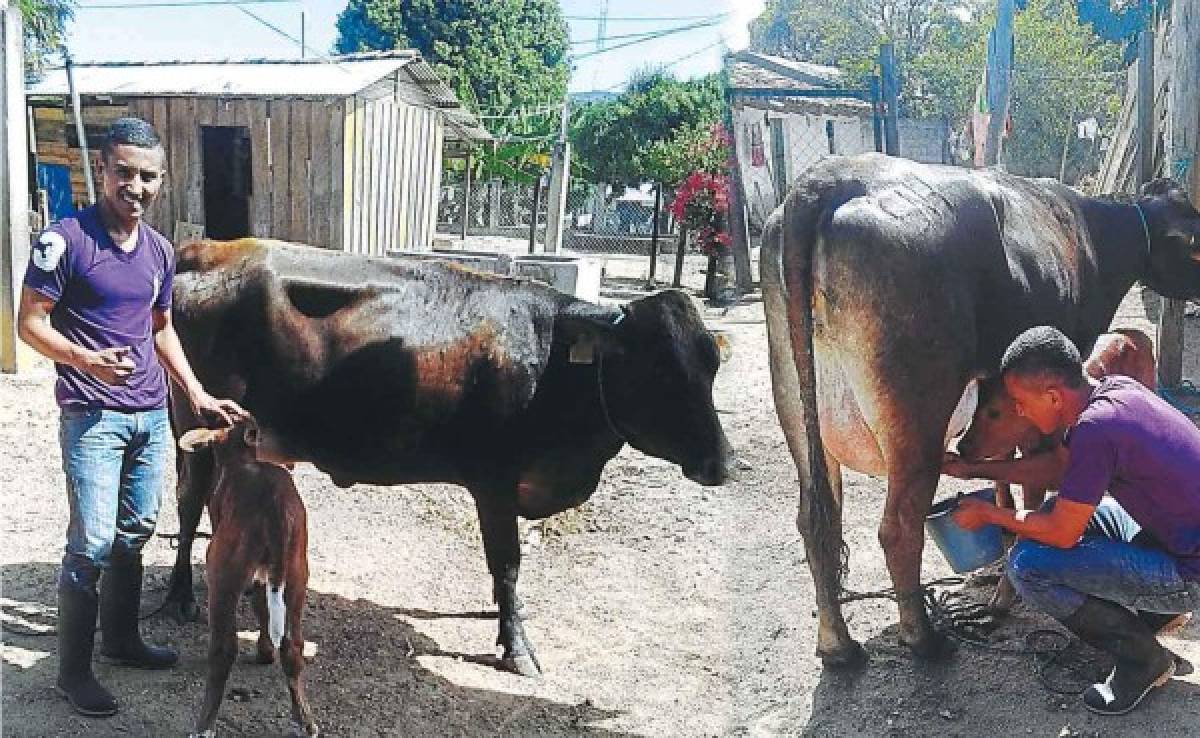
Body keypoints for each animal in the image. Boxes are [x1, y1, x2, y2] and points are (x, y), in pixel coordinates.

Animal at [164, 240, 734, 676]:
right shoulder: (495, 483)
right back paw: (178, 598)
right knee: (190, 506)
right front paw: (516, 646)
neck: (549, 360)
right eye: (657, 370)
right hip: (197, 424)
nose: (723, 462)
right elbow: (508, 562)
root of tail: (207, 249)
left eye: (711, 364)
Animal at [758, 153, 1200, 667]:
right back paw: (924, 640)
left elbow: (1004, 475)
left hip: (793, 394)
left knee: (816, 518)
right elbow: (1033, 484)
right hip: (917, 412)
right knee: (899, 527)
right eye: (1195, 248)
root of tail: (825, 180)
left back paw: (838, 646)